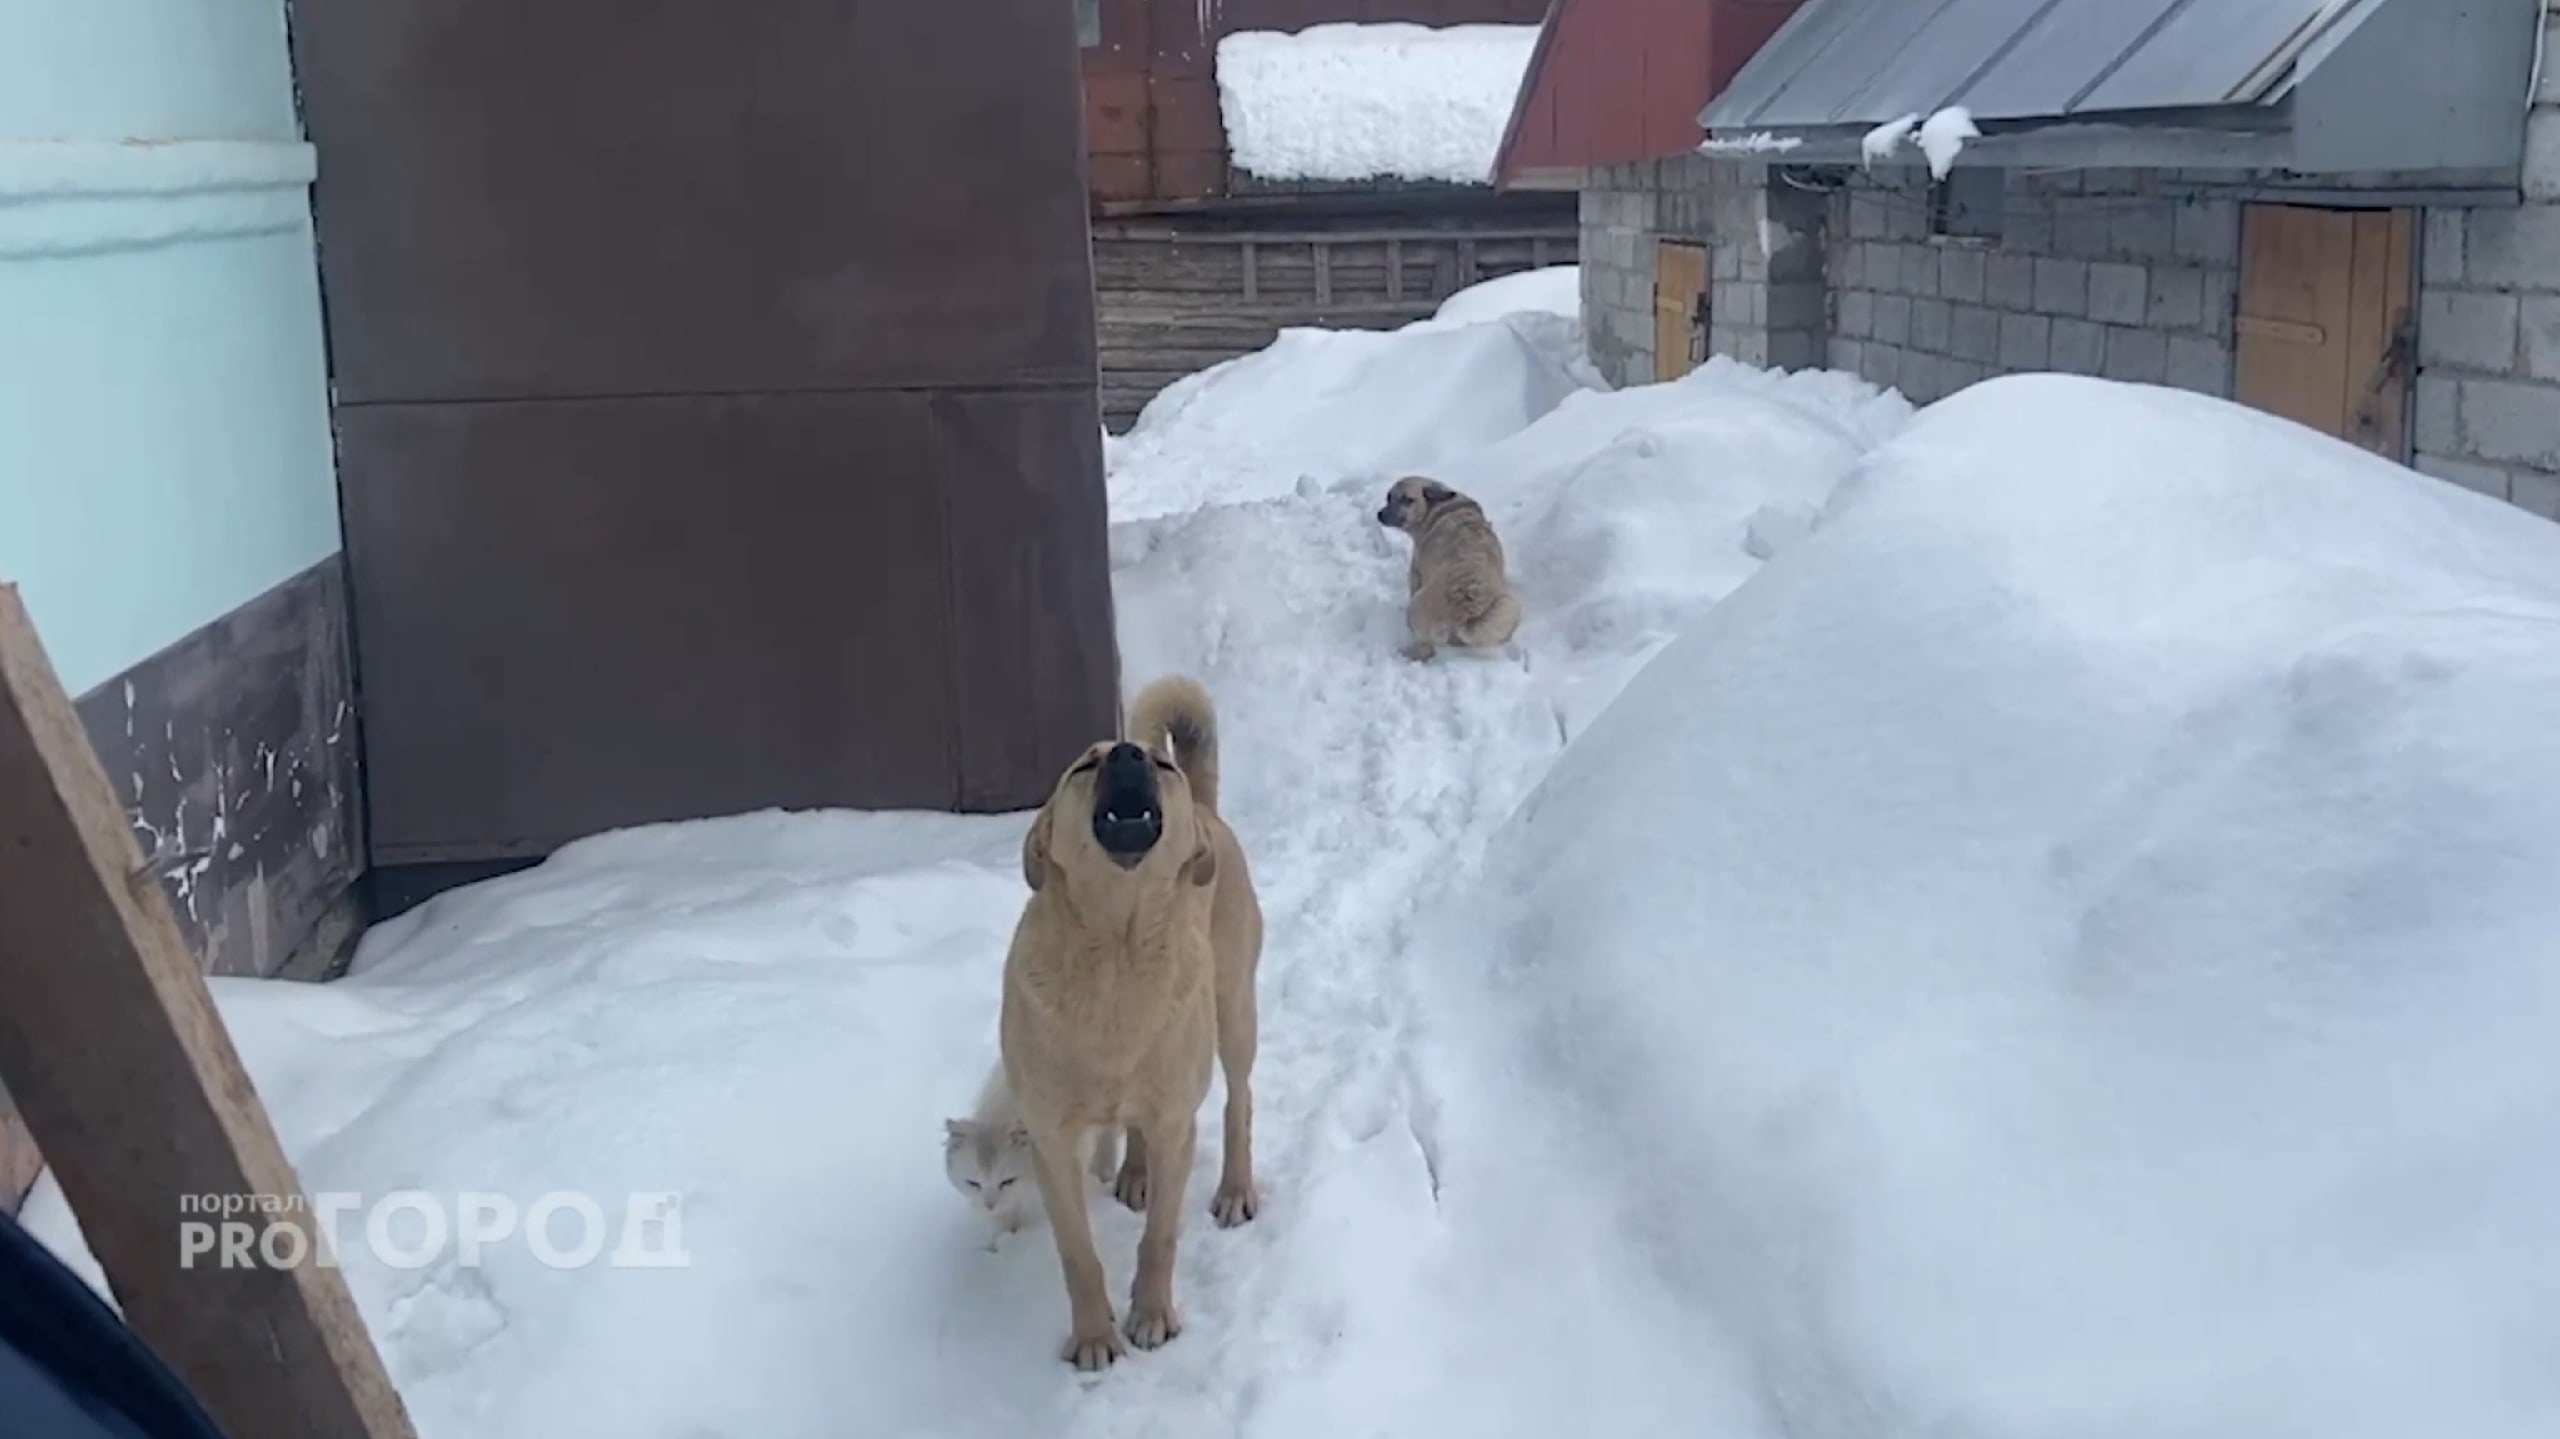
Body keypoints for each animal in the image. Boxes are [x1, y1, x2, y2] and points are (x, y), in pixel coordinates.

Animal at [1008, 670, 1269, 1362]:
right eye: (1085, 764)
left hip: (1236, 1014)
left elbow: (1160, 1239)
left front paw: (1151, 1315)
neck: (1116, 963)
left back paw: (1235, 1189)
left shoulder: (1178, 1122)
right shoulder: (1050, 1139)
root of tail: (1206, 810)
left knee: (1239, 1102)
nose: (1128, 753)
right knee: (1135, 1127)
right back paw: (1134, 1173)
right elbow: (1078, 1254)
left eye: (1159, 763)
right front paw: (1094, 1337)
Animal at [1382, 476, 1515, 665]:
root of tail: (1466, 610)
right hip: (1508, 607)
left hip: (1416, 607)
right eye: (1389, 497)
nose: (1379, 514)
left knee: (1425, 648)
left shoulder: (1416, 570)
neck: (1439, 507)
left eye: (1408, 500)